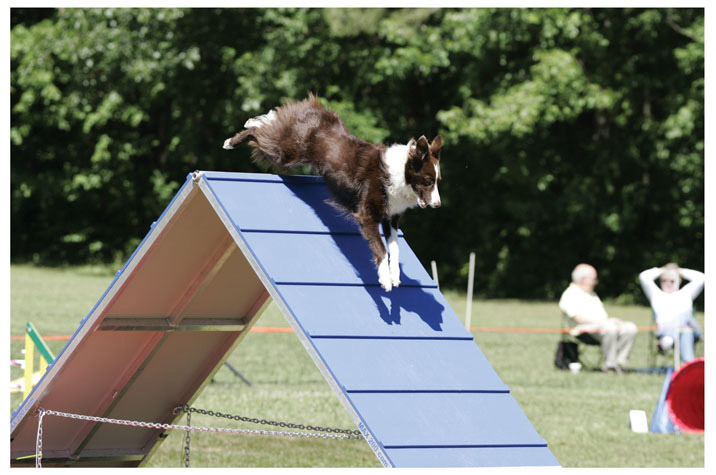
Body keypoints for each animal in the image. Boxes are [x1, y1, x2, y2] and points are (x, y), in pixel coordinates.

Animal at [221, 95, 442, 292]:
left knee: (271, 122)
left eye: (437, 182)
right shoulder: (367, 214)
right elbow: (380, 249)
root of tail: (316, 111)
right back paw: (232, 140)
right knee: (261, 132)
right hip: (286, 153)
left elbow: (394, 249)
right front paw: (385, 279)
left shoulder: (390, 218)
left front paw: (395, 275)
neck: (398, 173)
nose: (438, 205)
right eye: (428, 181)